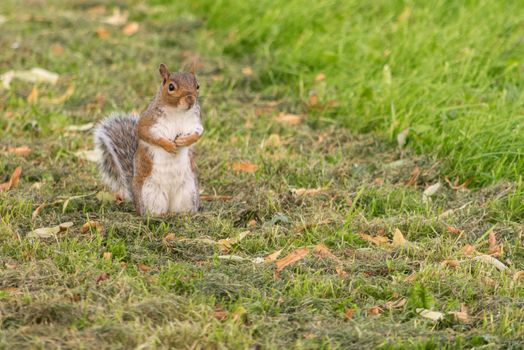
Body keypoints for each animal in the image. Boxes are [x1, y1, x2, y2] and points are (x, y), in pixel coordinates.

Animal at [92, 64, 203, 215]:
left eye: (197, 86)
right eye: (171, 87)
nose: (191, 99)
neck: (177, 112)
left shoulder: (194, 122)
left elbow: (198, 133)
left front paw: (184, 141)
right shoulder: (147, 122)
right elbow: (148, 135)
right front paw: (168, 145)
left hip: (188, 191)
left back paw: (183, 214)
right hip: (149, 193)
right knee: (153, 212)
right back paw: (160, 215)